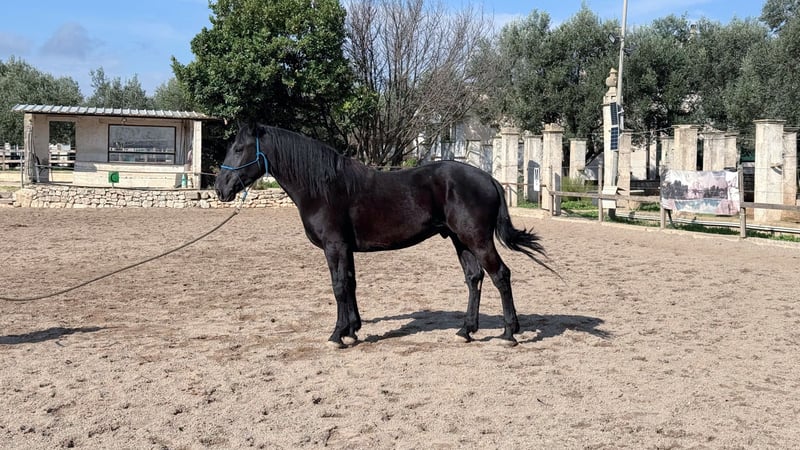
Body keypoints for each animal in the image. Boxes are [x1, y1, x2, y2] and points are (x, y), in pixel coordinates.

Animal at [215, 123, 551, 348]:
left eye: (239, 148)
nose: (220, 188)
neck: (323, 187)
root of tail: (489, 179)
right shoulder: (345, 249)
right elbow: (350, 284)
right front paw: (353, 329)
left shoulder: (334, 247)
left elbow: (339, 286)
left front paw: (338, 335)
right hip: (460, 240)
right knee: (474, 278)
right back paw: (466, 330)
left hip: (477, 239)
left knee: (500, 275)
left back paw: (509, 333)